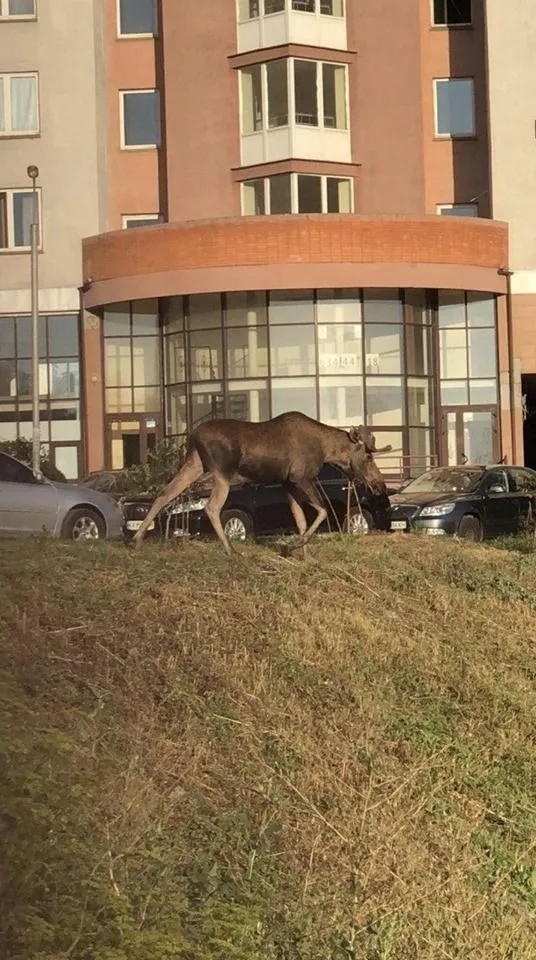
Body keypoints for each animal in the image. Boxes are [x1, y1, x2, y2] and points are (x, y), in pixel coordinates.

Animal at [132, 411, 392, 557]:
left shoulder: (288, 484)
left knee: (165, 492)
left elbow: (301, 520)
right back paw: (229, 548)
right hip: (222, 471)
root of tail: (193, 435)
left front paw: (306, 555)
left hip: (195, 464)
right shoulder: (300, 477)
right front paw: (293, 546)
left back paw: (138, 538)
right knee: (212, 507)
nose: (380, 484)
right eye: (369, 457)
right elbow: (322, 511)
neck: (326, 450)